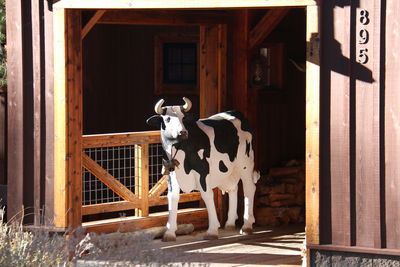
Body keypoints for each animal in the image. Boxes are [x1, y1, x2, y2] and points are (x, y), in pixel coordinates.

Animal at [147, 97, 260, 242]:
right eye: (167, 119)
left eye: (184, 118)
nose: (182, 132)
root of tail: (235, 112)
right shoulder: (171, 173)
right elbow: (172, 197)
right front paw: (169, 233)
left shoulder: (202, 170)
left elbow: (207, 195)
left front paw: (212, 230)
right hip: (230, 170)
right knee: (233, 188)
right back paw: (229, 223)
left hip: (245, 163)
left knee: (249, 189)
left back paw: (246, 225)